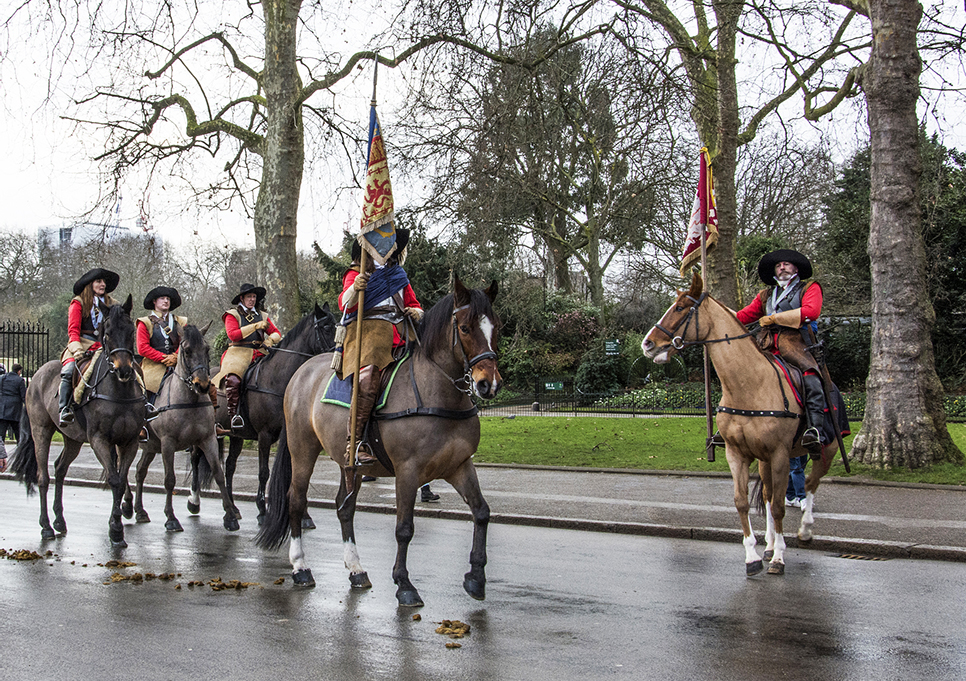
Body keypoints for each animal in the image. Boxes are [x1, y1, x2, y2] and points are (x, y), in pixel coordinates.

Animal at [9, 298, 147, 548]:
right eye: (107, 332)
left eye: (131, 331)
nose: (124, 370)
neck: (119, 390)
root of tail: (34, 378)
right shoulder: (99, 439)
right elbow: (114, 479)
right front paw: (116, 530)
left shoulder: (129, 441)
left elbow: (121, 480)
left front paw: (118, 523)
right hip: (41, 431)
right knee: (43, 477)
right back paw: (46, 526)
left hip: (72, 439)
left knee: (60, 469)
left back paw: (59, 521)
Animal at [258, 276, 502, 604]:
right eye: (464, 328)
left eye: (496, 326)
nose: (489, 384)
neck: (438, 392)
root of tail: (301, 372)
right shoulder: (408, 472)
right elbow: (404, 528)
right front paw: (404, 584)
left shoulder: (460, 465)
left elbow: (482, 513)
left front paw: (476, 577)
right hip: (302, 449)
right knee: (295, 501)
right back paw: (300, 567)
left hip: (350, 462)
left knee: (344, 508)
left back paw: (356, 570)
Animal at [644, 270, 840, 572]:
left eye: (680, 308)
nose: (648, 344)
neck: (748, 385)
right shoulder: (738, 454)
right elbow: (742, 502)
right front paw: (753, 555)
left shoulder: (780, 453)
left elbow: (781, 505)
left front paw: (779, 557)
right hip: (765, 460)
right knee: (770, 495)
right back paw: (769, 544)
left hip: (824, 450)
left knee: (809, 484)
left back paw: (804, 530)